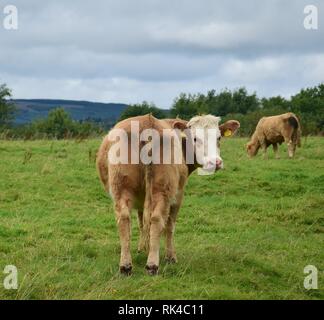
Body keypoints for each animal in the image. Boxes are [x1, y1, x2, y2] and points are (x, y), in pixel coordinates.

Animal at [96, 114, 240, 276]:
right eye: (195, 138)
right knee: (158, 219)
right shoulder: (177, 196)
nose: (215, 162)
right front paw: (169, 256)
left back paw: (126, 265)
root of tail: (147, 122)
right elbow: (169, 225)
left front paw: (143, 248)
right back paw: (152, 264)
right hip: (163, 190)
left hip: (122, 188)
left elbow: (142, 223)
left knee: (125, 219)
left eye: (219, 137)